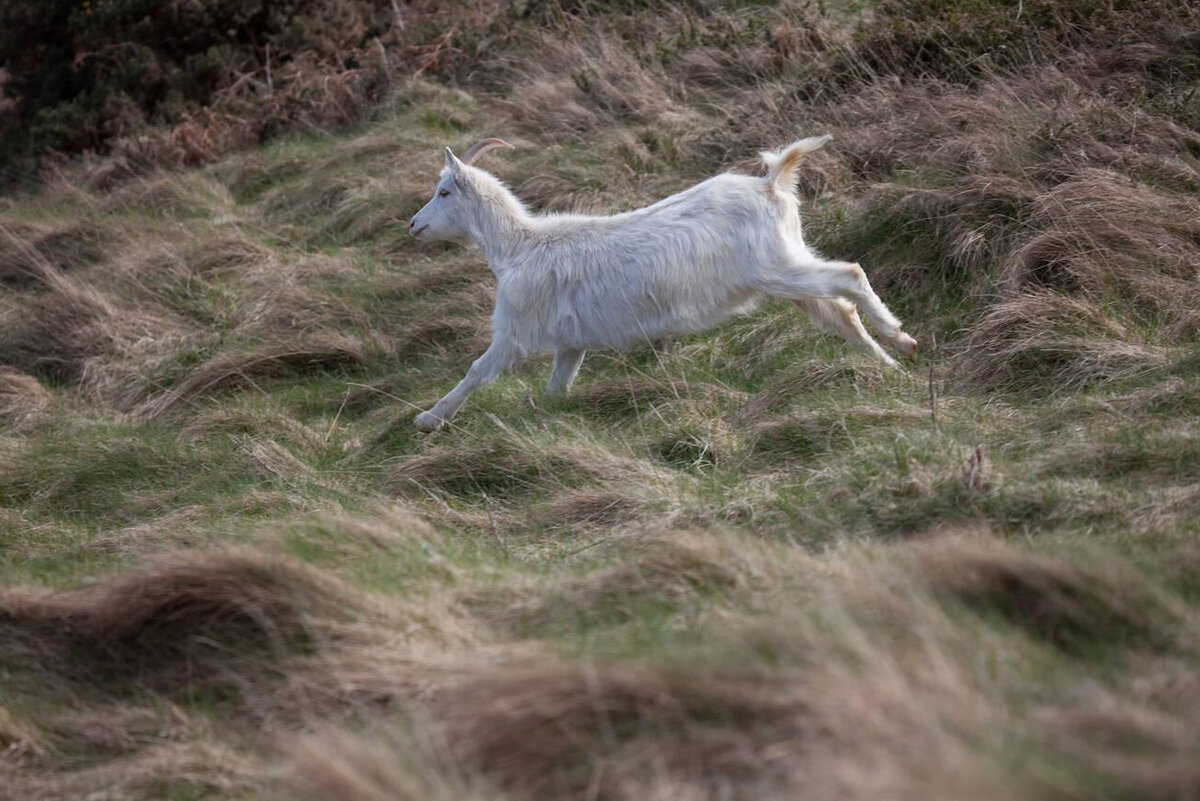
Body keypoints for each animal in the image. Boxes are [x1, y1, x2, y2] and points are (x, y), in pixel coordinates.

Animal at [408, 136, 912, 431]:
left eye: (444, 191)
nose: (413, 225)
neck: (520, 247)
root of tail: (770, 183)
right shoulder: (571, 343)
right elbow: (557, 389)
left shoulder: (514, 331)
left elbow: (477, 370)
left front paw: (428, 418)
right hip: (789, 270)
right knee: (840, 311)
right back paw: (889, 366)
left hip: (777, 269)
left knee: (851, 275)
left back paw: (901, 339)